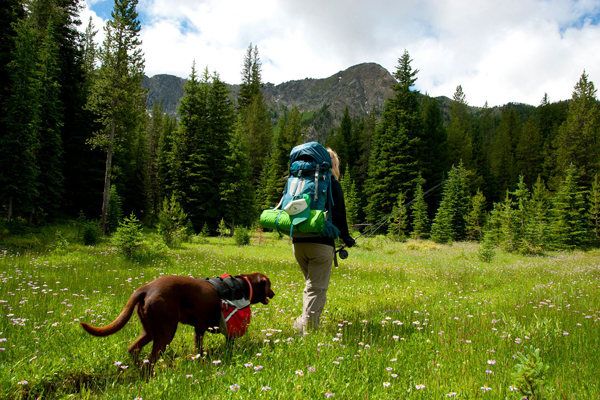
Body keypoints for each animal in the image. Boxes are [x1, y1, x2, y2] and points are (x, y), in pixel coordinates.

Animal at [81, 274, 276, 364]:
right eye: (269, 285)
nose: (274, 294)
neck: (244, 285)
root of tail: (145, 288)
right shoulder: (230, 329)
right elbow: (231, 344)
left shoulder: (199, 328)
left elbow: (198, 346)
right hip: (166, 331)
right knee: (150, 359)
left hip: (150, 330)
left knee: (133, 349)